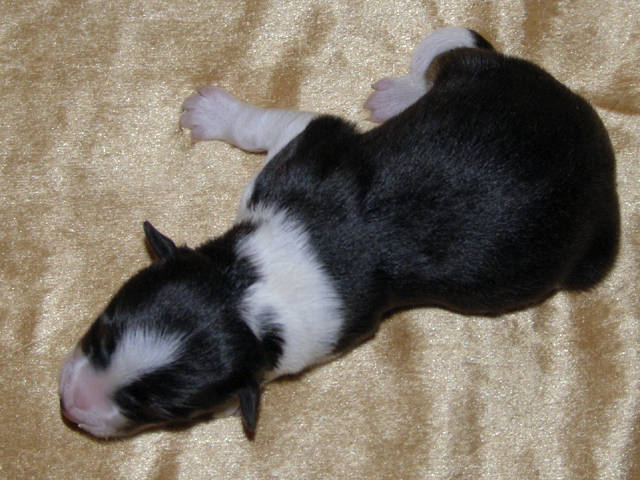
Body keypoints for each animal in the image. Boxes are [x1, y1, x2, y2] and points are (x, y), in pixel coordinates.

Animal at [59, 27, 619, 438]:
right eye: (104, 329)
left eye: (163, 410)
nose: (71, 405)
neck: (250, 289)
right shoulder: (302, 147)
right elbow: (260, 125)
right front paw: (213, 113)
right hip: (487, 76)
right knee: (449, 55)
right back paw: (398, 96)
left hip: (587, 255)